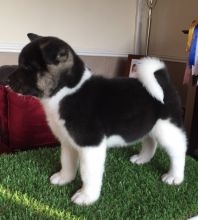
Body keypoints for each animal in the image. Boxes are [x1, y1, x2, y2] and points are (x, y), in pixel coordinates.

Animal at [8, 33, 187, 205]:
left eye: (28, 67)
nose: (8, 79)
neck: (67, 91)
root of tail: (163, 80)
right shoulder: (68, 141)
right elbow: (66, 161)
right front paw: (64, 178)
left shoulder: (90, 145)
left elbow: (88, 173)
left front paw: (86, 196)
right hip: (148, 125)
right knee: (150, 141)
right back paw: (142, 159)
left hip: (167, 127)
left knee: (178, 150)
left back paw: (175, 177)